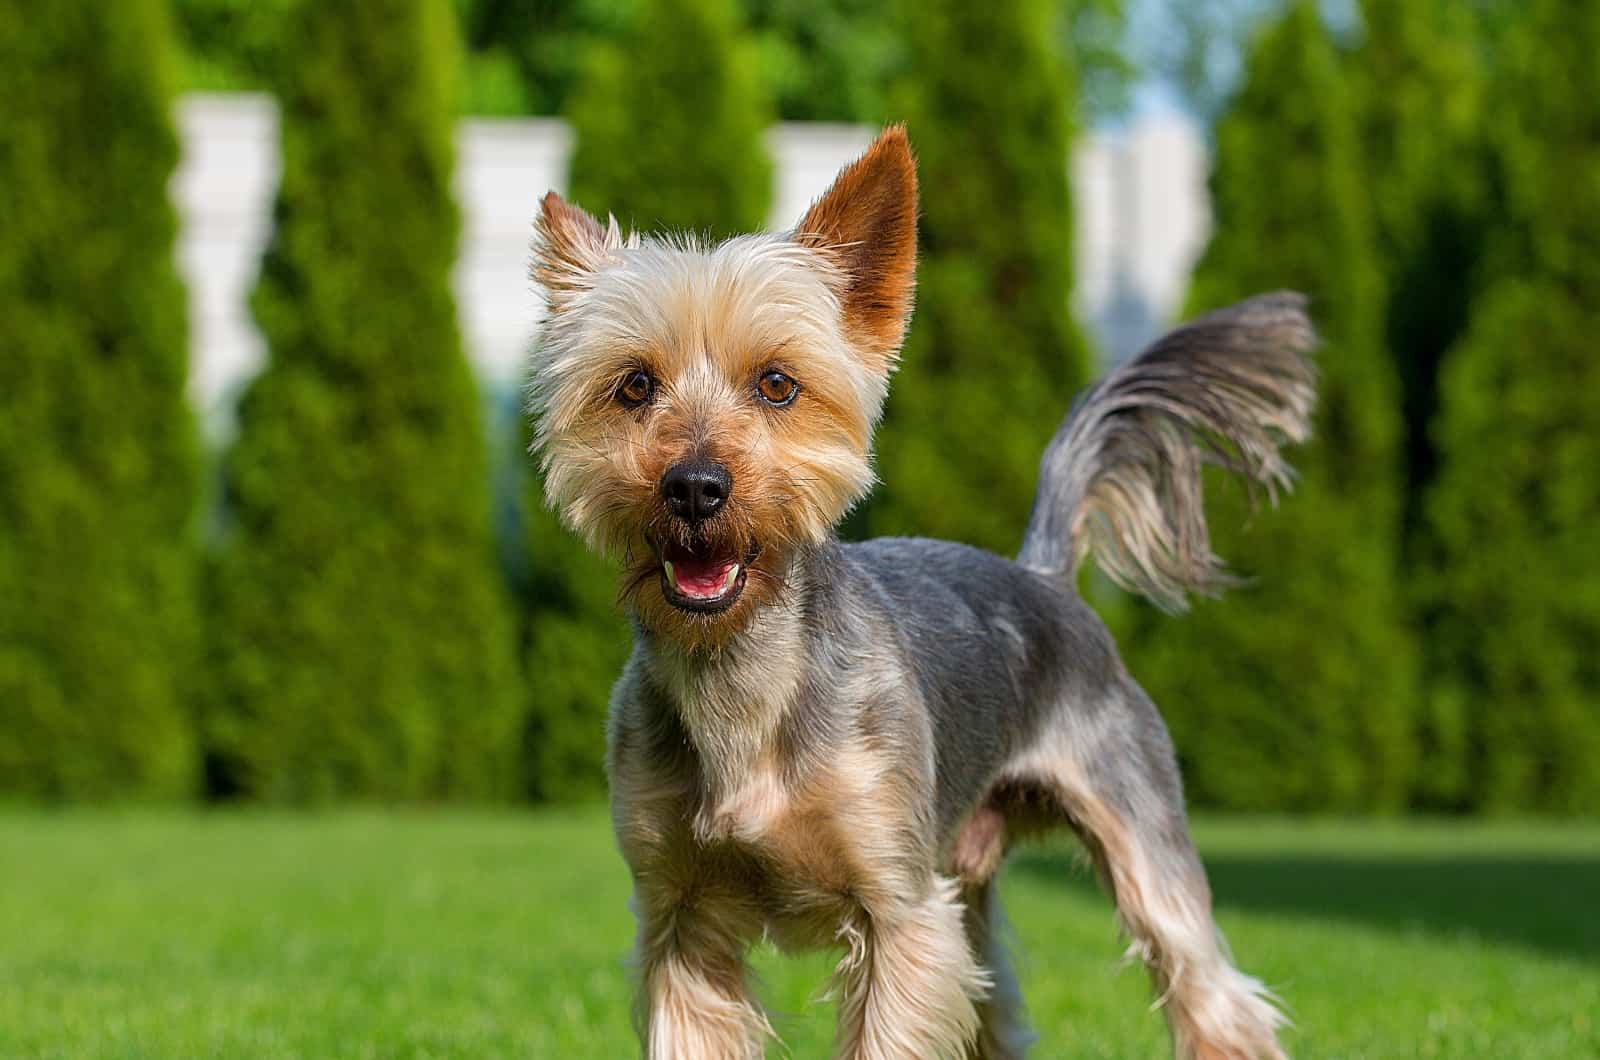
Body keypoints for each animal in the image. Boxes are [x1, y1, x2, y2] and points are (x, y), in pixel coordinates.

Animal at [528, 126, 1312, 1060]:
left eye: (777, 385)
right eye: (634, 385)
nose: (694, 486)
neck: (741, 677)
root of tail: (1041, 575)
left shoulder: (899, 909)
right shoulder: (678, 918)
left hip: (1135, 812)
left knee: (1208, 984)